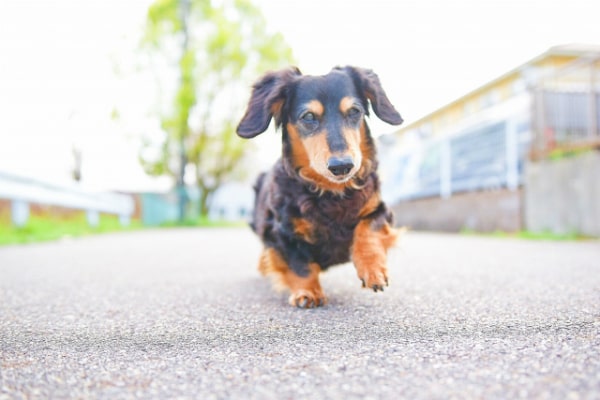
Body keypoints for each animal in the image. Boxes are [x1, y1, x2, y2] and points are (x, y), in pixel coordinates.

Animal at [238, 66, 404, 310]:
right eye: (308, 116)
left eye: (354, 111)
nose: (342, 166)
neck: (331, 193)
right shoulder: (282, 233)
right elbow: (300, 264)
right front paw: (307, 292)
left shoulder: (380, 210)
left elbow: (368, 229)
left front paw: (372, 270)